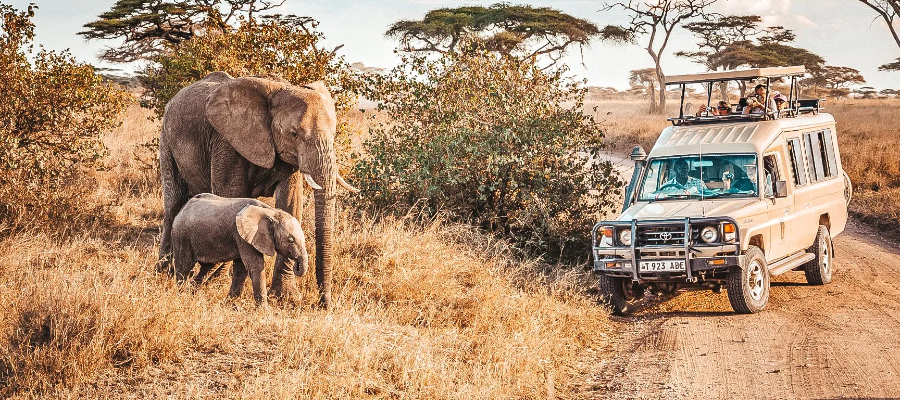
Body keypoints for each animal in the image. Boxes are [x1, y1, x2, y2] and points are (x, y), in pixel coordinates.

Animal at [171, 194, 310, 306]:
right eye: (290, 240)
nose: (296, 265)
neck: (270, 212)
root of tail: (182, 209)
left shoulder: (242, 237)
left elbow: (241, 269)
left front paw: (230, 305)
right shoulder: (242, 236)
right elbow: (255, 266)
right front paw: (264, 311)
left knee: (208, 267)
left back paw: (191, 293)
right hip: (182, 236)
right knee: (184, 267)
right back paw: (182, 295)